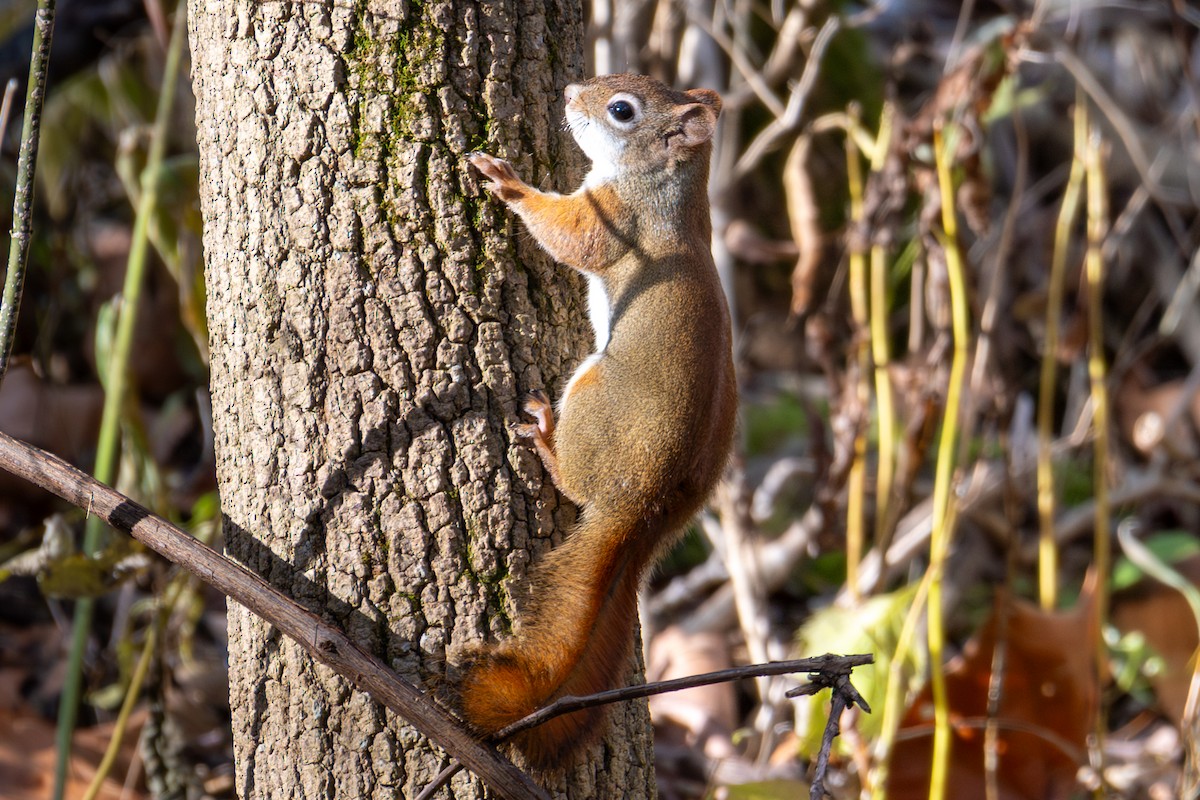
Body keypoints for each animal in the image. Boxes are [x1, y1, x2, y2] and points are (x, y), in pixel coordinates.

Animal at [459, 74, 737, 770]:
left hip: (591, 394)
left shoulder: (618, 219)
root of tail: (643, 505)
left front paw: (509, 183)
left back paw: (545, 438)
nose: (569, 91)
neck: (671, 187)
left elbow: (572, 235)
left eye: (621, 111)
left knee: (573, 477)